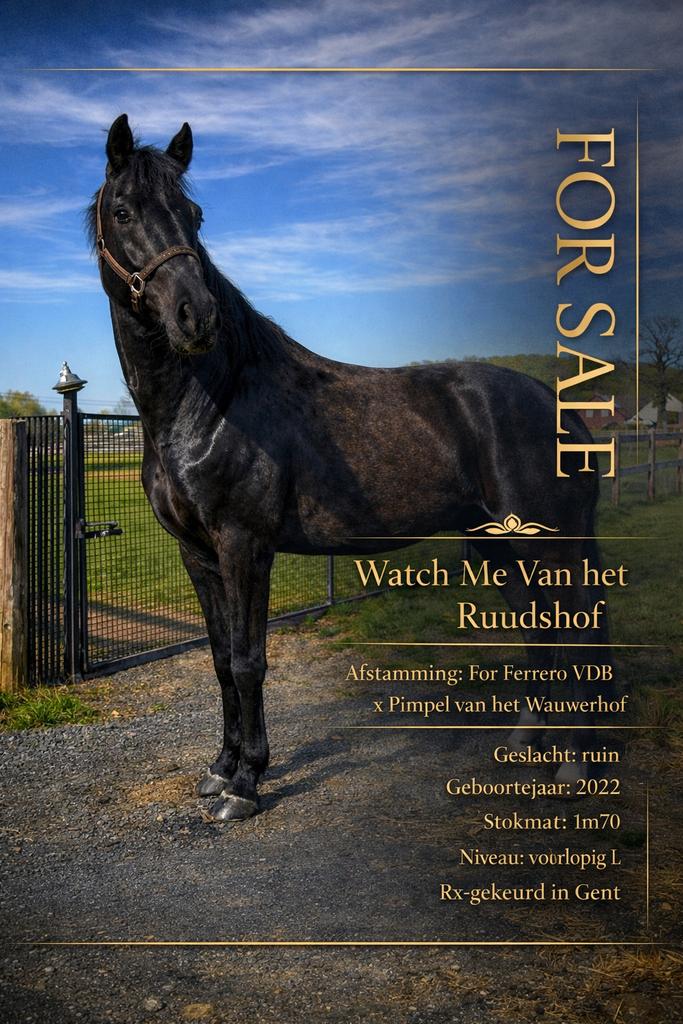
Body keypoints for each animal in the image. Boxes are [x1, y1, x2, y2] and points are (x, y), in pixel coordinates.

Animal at [88, 114, 613, 821]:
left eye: (194, 215)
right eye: (123, 211)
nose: (196, 316)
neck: (214, 399)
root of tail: (561, 409)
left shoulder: (245, 546)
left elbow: (250, 661)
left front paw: (247, 784)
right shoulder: (197, 553)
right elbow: (221, 660)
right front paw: (219, 769)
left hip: (552, 547)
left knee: (576, 631)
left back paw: (576, 763)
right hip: (499, 547)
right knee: (538, 627)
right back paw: (525, 739)